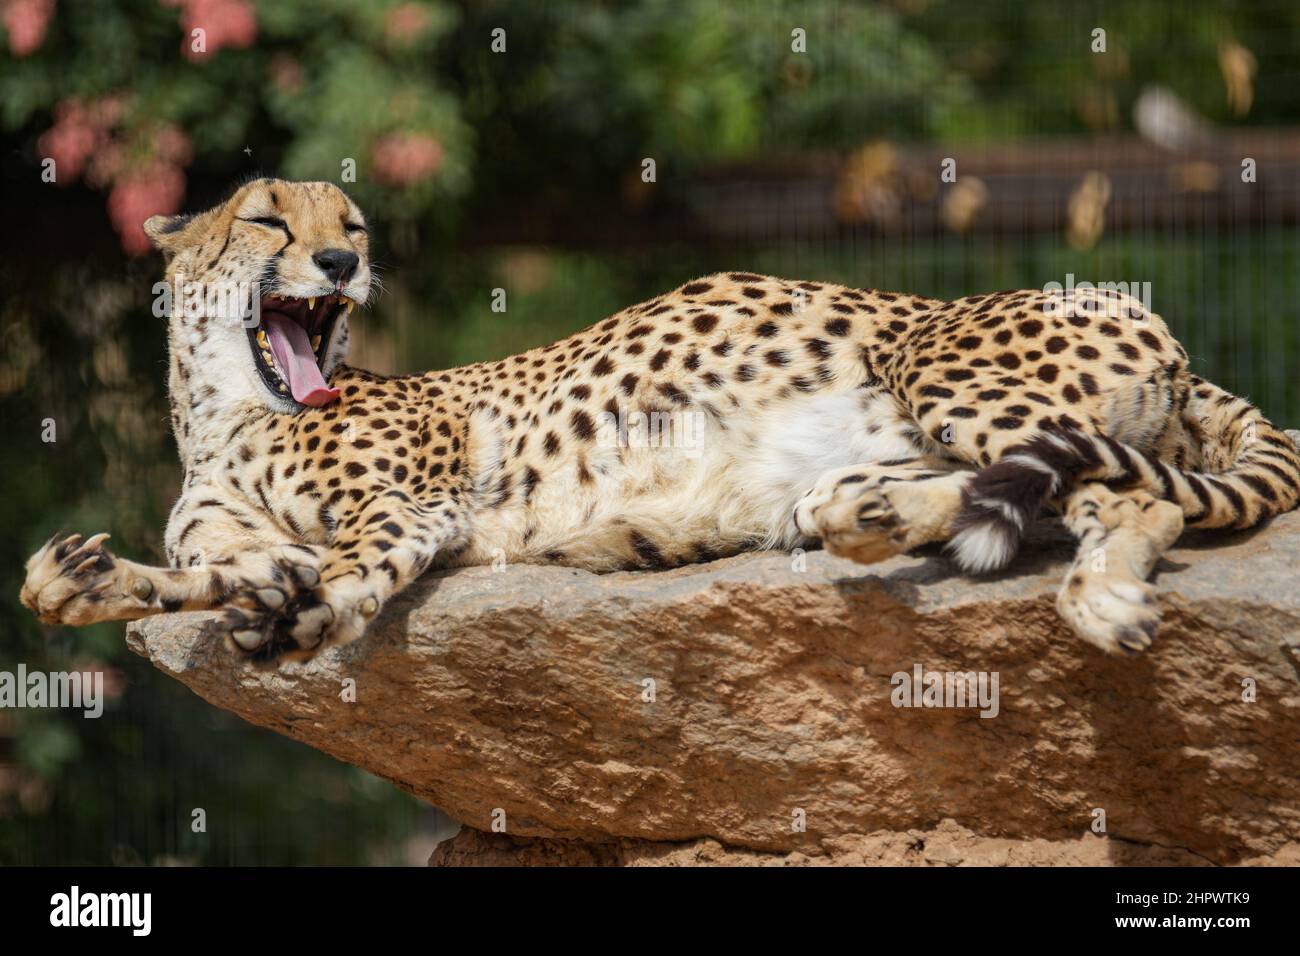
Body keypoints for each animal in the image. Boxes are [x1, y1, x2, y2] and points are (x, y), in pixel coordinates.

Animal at [20, 175, 1300, 660]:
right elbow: (211, 573)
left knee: (1119, 492)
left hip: (937, 361)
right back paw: (872, 511)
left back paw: (1100, 597)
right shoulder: (249, 539)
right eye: (268, 220)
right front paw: (79, 575)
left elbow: (355, 557)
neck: (221, 411)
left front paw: (313, 612)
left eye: (352, 223)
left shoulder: (416, 503)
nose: (341, 259)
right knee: (1042, 493)